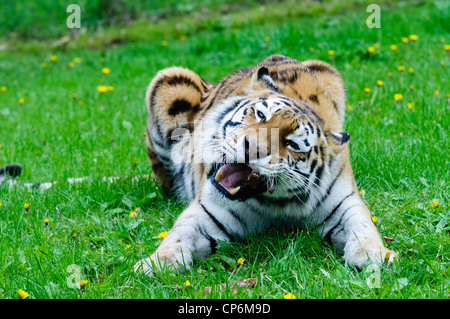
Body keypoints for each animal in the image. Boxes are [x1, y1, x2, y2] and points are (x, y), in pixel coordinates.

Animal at [134, 54, 398, 276]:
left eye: (292, 144)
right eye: (261, 116)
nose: (251, 147)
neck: (277, 205)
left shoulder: (345, 204)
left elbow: (364, 226)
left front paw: (375, 255)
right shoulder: (207, 213)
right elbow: (177, 235)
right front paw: (153, 264)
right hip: (170, 81)